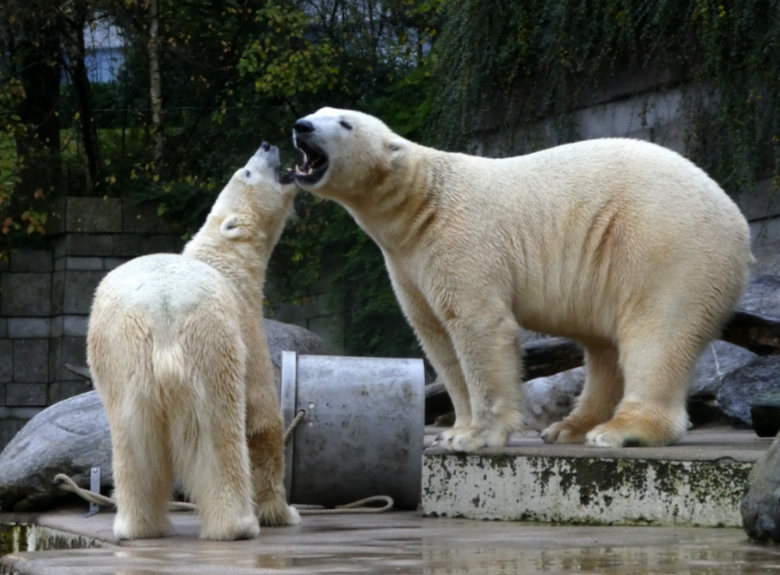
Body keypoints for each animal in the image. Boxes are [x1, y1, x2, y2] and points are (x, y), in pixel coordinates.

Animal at [87, 144, 302, 540]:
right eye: (247, 172)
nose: (267, 145)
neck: (225, 259)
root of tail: (161, 309)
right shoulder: (245, 322)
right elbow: (263, 420)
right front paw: (283, 513)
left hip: (120, 352)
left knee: (133, 440)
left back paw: (138, 526)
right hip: (209, 341)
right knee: (218, 429)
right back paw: (238, 524)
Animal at [290, 108, 752, 454]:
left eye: (344, 123)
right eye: (317, 111)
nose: (301, 126)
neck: (423, 201)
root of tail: (738, 220)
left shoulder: (462, 240)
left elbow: (478, 325)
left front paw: (477, 437)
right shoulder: (407, 262)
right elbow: (437, 337)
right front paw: (452, 431)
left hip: (665, 245)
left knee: (656, 333)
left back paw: (620, 430)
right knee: (604, 348)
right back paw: (570, 427)